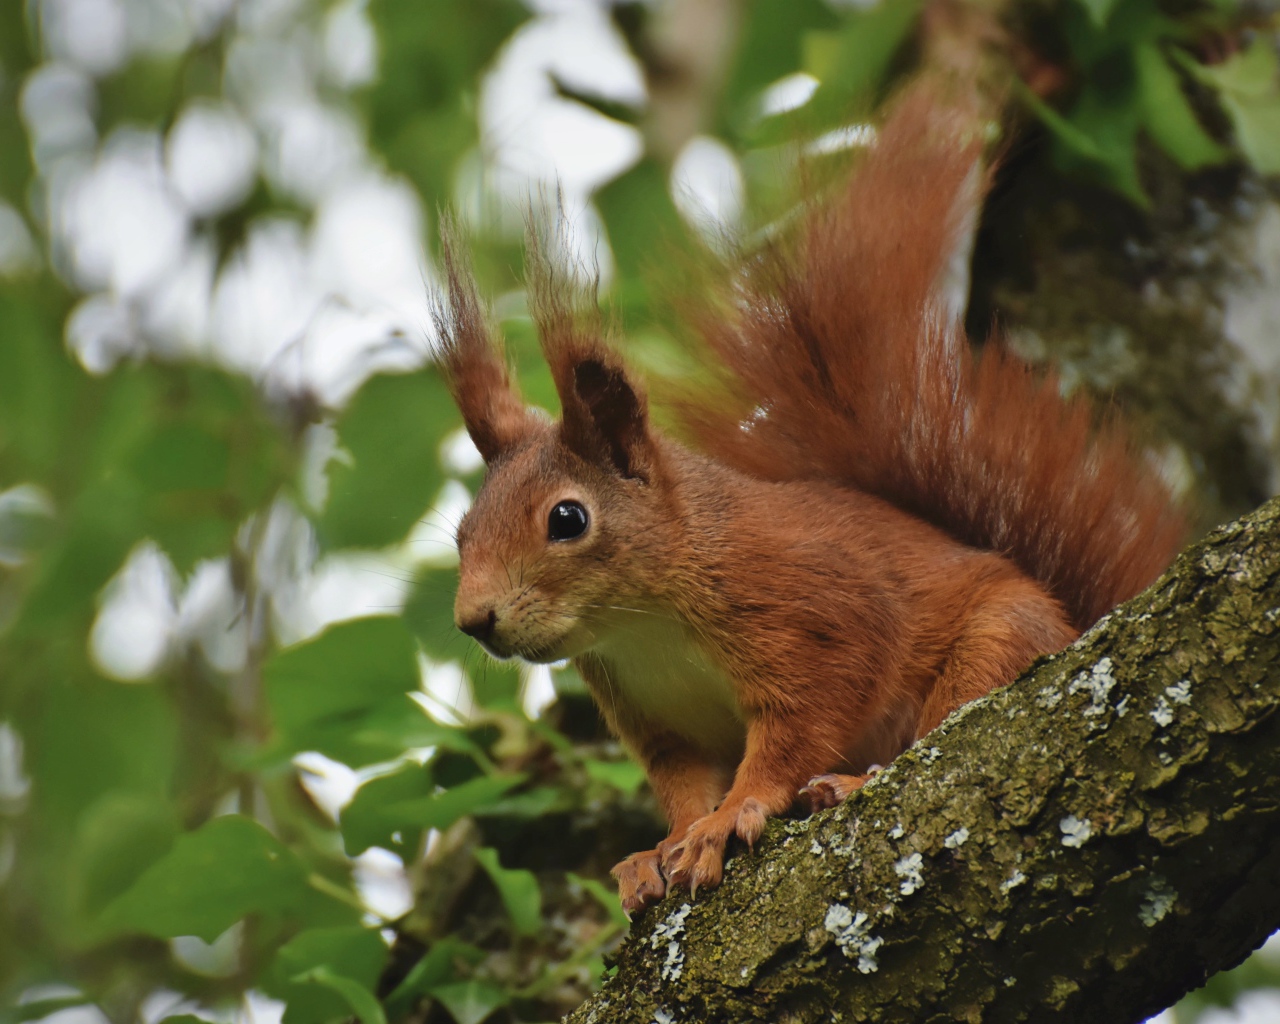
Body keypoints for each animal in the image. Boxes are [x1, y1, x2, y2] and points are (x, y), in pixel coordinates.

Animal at [435, 85, 1182, 911]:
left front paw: (730, 817)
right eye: (462, 532)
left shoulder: (813, 613)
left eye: (567, 518)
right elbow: (680, 782)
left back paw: (853, 781)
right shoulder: (656, 716)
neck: (643, 623)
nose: (474, 621)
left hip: (1001, 641)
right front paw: (661, 848)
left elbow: (798, 730)